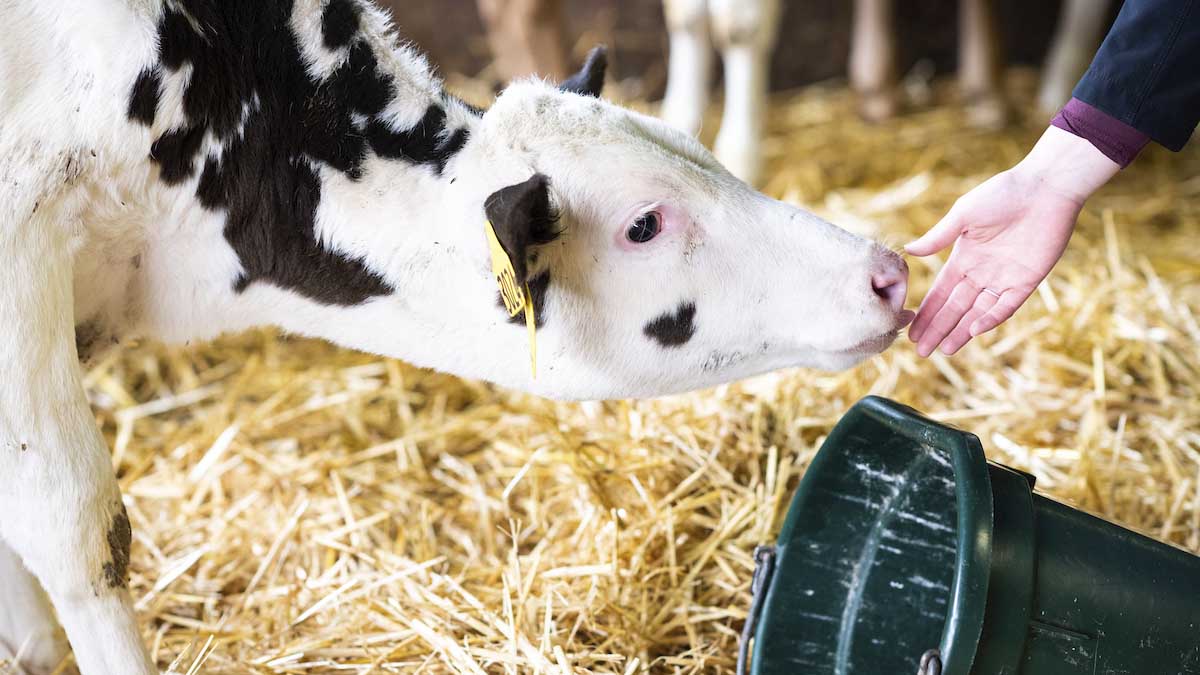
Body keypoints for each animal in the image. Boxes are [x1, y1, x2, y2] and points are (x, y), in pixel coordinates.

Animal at [0, 2, 907, 667]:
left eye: (703, 151)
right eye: (644, 223)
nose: (887, 270)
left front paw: (31, 646)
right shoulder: (22, 254)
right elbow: (83, 534)